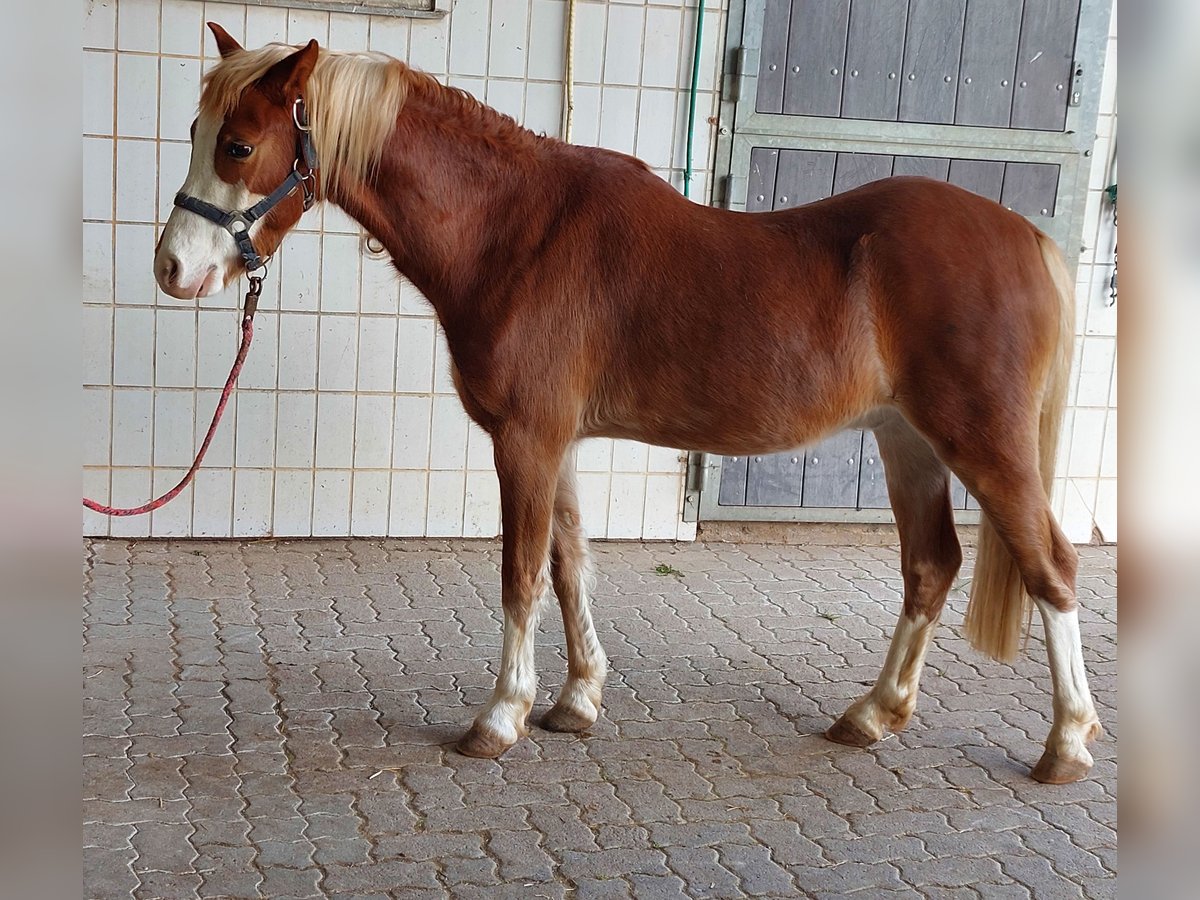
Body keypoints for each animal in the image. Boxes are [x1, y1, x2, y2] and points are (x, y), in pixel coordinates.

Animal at [154, 28, 1099, 787]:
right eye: (196, 135)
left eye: (238, 145)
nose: (171, 268)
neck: (516, 231)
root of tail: (1027, 238)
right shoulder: (559, 444)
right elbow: (572, 564)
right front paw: (576, 701)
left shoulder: (526, 441)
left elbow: (521, 574)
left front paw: (500, 716)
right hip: (909, 443)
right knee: (931, 566)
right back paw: (872, 714)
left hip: (983, 441)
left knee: (1051, 566)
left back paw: (1066, 744)